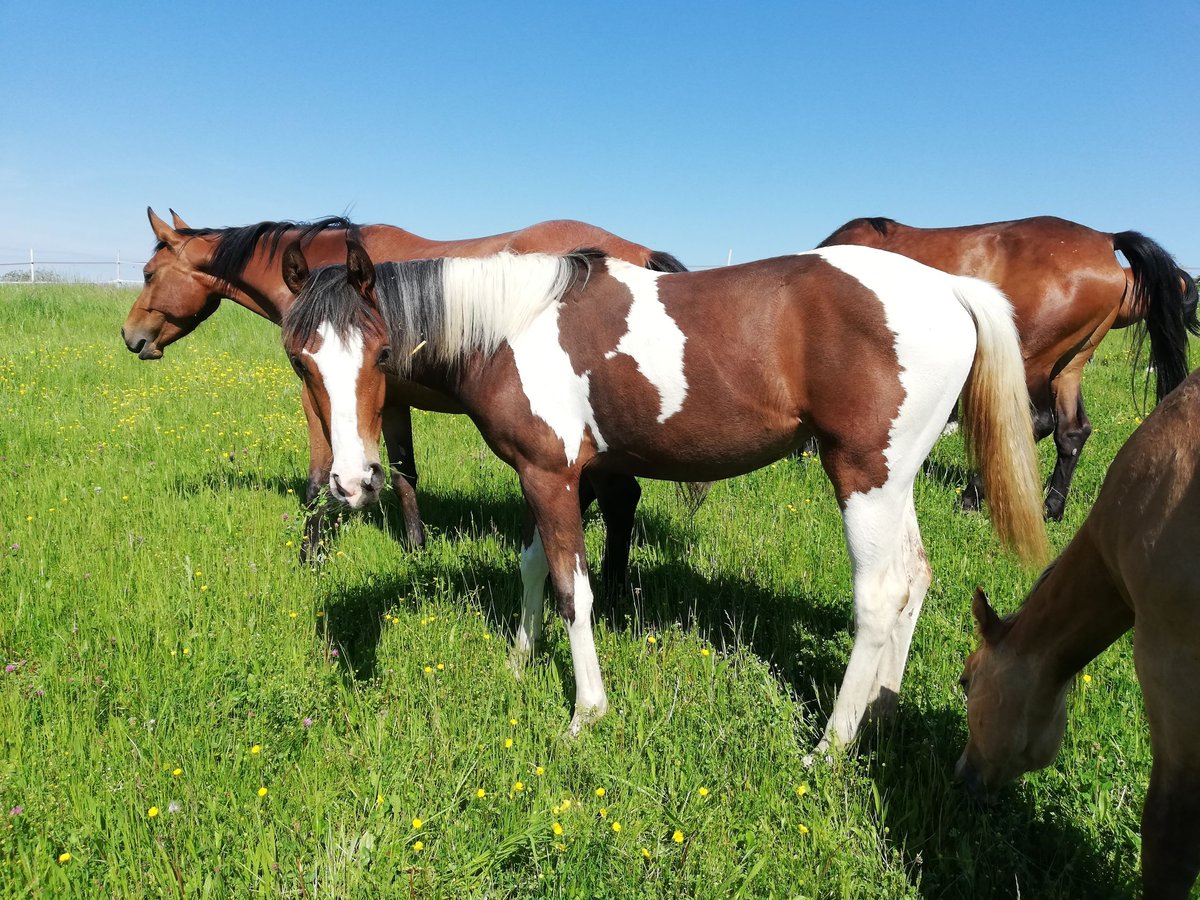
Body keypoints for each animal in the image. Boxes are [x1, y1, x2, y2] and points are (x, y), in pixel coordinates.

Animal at [123, 208, 691, 580]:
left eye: (148, 274)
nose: (132, 337)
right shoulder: (389, 400)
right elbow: (403, 474)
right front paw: (417, 548)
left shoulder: (318, 396)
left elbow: (317, 482)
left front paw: (309, 558)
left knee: (619, 497)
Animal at [280, 237, 1051, 748]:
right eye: (298, 359)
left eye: (381, 352)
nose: (353, 483)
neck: (511, 327)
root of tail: (949, 288)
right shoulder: (557, 473)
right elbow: (533, 568)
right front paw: (519, 661)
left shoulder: (553, 475)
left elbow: (574, 589)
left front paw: (585, 714)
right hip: (896, 477)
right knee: (916, 577)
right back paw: (880, 714)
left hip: (863, 475)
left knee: (880, 595)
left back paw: (830, 745)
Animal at [820, 214, 1195, 520]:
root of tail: (1105, 239)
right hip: (1068, 366)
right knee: (1072, 431)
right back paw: (1052, 507)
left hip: (1032, 361)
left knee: (1034, 423)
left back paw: (973, 497)